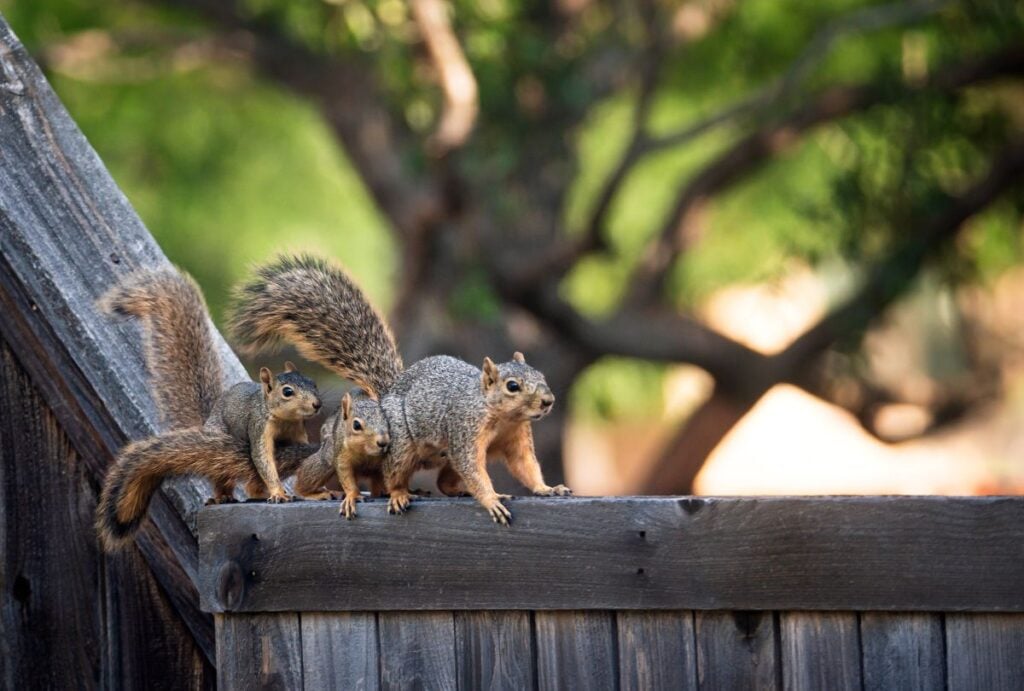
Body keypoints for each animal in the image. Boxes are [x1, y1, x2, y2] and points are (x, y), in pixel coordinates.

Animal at [94, 267, 326, 551]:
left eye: (313, 383)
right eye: (287, 392)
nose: (316, 404)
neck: (285, 419)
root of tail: (208, 420)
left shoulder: (297, 432)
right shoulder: (259, 427)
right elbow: (262, 459)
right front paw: (277, 492)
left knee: (252, 484)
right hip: (219, 444)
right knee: (224, 477)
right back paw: (223, 496)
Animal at [230, 254, 571, 525]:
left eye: (541, 375)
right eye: (513, 386)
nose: (548, 401)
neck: (501, 416)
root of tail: (389, 391)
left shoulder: (516, 439)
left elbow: (526, 467)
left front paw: (547, 488)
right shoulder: (464, 432)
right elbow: (474, 469)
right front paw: (491, 500)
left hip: (439, 457)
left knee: (444, 481)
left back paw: (450, 489)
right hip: (402, 446)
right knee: (393, 475)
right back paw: (398, 493)